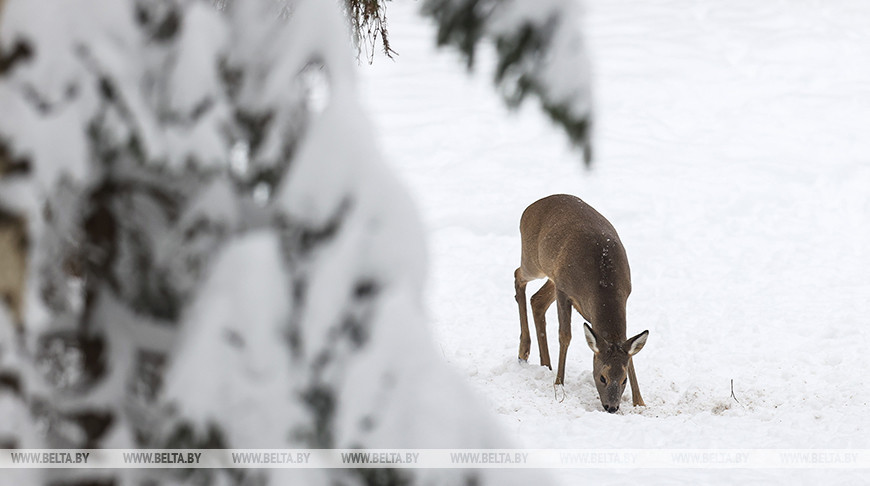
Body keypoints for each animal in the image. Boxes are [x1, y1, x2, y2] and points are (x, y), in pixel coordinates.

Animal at [516, 195, 652, 414]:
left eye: (623, 380)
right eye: (602, 377)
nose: (612, 407)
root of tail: (530, 207)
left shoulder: (626, 294)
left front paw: (640, 401)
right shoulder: (564, 290)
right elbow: (565, 335)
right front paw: (559, 384)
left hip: (551, 275)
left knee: (536, 300)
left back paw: (545, 364)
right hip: (533, 261)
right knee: (518, 276)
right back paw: (523, 351)